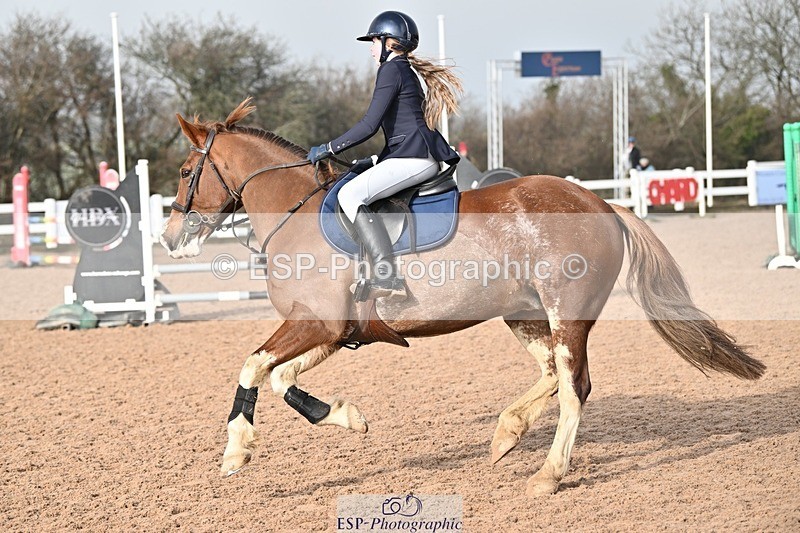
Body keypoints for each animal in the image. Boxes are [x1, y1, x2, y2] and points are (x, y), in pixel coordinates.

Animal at [160, 99, 765, 496]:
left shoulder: (318, 325)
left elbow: (252, 365)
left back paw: (547, 475)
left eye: (188, 171)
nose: (168, 237)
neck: (298, 212)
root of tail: (601, 203)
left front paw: (236, 451)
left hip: (565, 315)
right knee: (552, 374)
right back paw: (506, 434)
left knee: (575, 389)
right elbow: (280, 377)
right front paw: (345, 417)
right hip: (522, 314)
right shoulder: (334, 331)